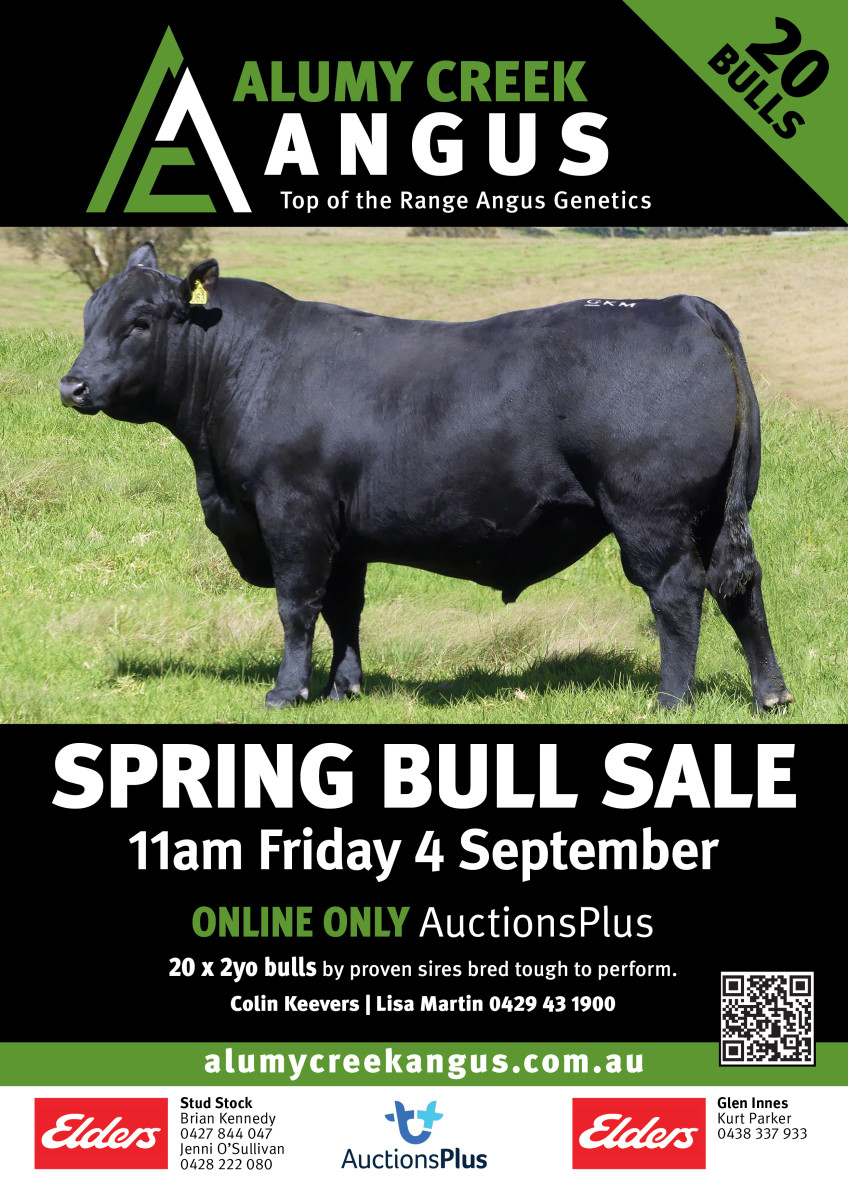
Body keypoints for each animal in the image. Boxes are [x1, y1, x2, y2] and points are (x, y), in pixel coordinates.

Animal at [60, 243, 793, 713]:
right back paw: (771, 694)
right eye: (90, 317)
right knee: (740, 588)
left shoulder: (292, 511)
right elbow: (343, 608)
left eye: (141, 321)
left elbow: (298, 605)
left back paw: (670, 700)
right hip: (714, 512)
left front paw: (287, 691)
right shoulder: (344, 533)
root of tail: (678, 304)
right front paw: (344, 688)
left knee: (677, 594)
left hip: (649, 514)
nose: (73, 385)